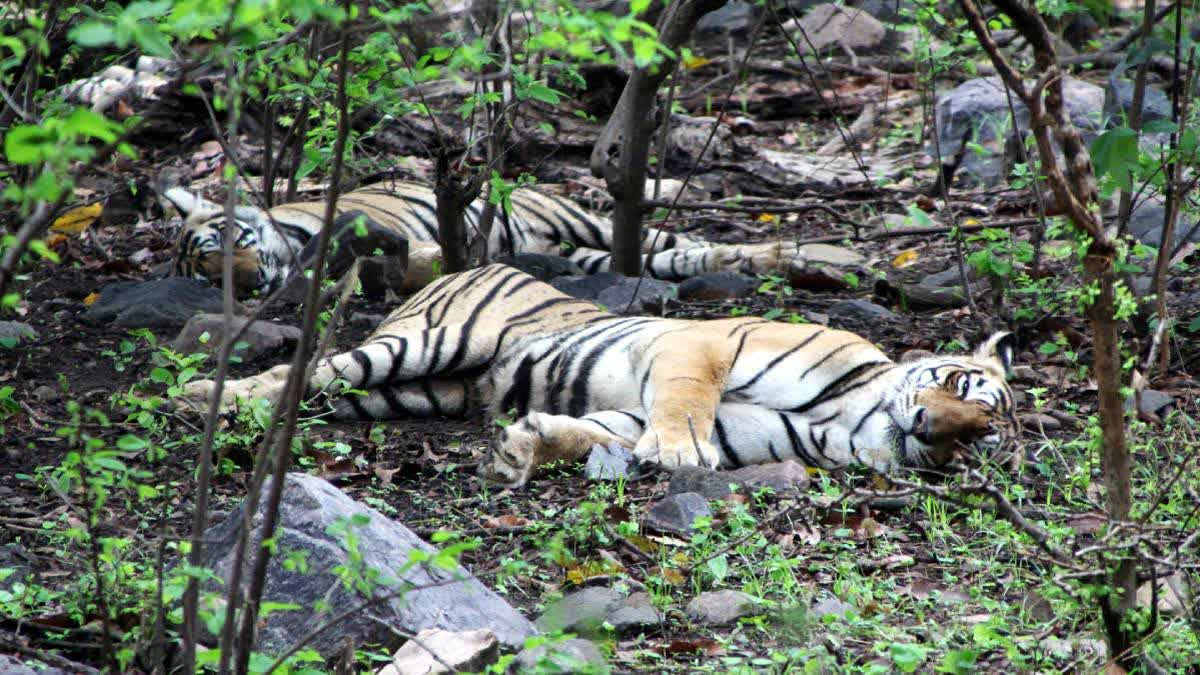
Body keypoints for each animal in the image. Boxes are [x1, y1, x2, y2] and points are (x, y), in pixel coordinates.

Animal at [175, 261, 1022, 482]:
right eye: (958, 387)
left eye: (975, 436)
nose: (929, 424)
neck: (856, 417)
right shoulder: (707, 345)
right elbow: (684, 402)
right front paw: (679, 452)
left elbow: (595, 432)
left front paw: (524, 444)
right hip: (424, 343)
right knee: (311, 366)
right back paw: (201, 396)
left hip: (411, 394)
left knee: (331, 393)